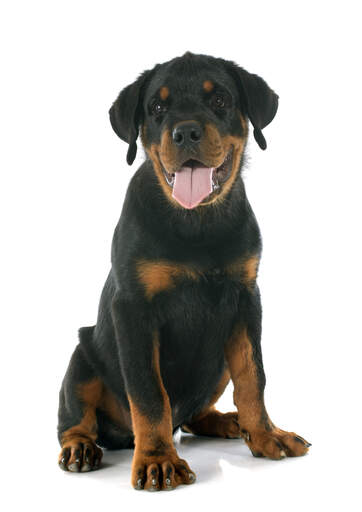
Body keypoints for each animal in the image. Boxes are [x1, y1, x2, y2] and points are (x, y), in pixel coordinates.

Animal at [57, 53, 312, 492]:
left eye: (221, 100)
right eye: (157, 107)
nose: (186, 132)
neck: (196, 222)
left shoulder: (246, 298)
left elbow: (253, 376)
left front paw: (266, 434)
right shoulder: (133, 310)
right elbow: (149, 394)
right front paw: (157, 461)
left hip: (217, 362)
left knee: (196, 414)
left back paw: (231, 423)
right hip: (81, 356)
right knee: (75, 419)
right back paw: (80, 448)